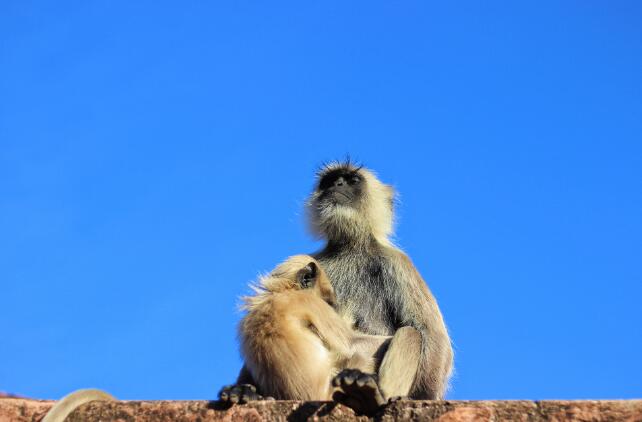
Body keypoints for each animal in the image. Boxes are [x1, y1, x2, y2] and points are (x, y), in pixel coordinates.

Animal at [218, 162, 452, 412]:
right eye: (330, 181)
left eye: (352, 180)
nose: (337, 185)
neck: (348, 247)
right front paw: (242, 389)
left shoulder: (397, 262)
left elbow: (431, 335)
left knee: (412, 333)